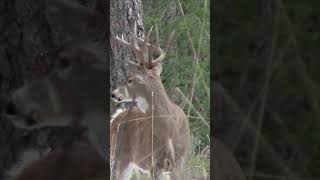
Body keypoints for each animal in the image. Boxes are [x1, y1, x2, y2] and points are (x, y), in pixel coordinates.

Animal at [110, 22, 190, 180]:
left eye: (130, 79)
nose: (114, 94)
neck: (169, 128)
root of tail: (116, 117)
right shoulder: (155, 162)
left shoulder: (180, 161)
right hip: (119, 156)